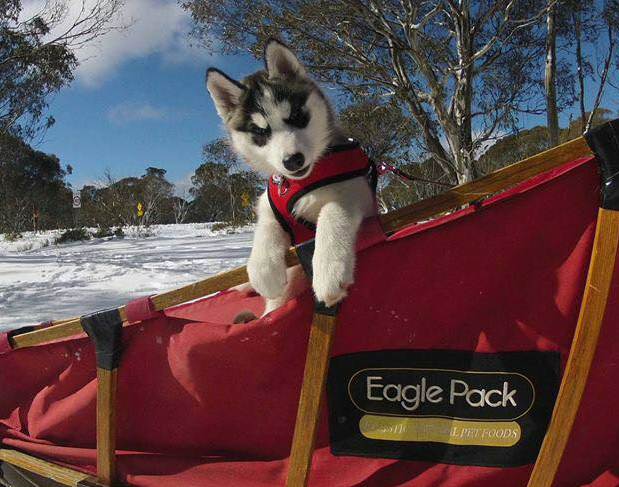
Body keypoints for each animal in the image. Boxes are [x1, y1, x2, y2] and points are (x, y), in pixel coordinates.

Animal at [206, 37, 376, 312]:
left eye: (296, 116)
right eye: (260, 132)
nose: (292, 160)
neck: (302, 182)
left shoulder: (355, 189)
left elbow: (331, 215)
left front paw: (328, 272)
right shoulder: (269, 205)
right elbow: (265, 227)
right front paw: (262, 270)